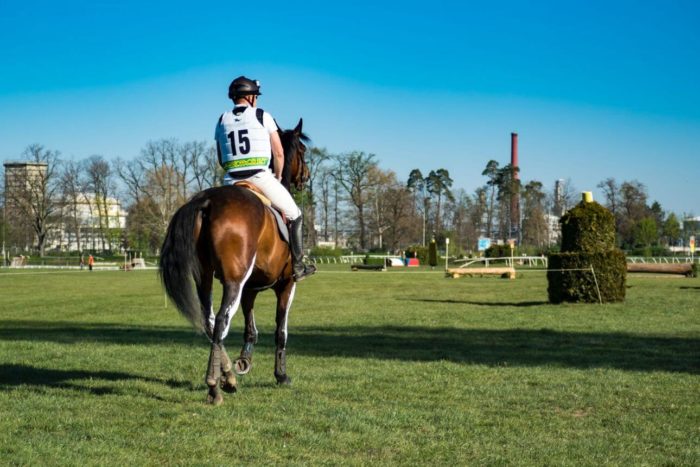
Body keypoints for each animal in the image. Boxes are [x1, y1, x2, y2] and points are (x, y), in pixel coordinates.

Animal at [161, 118, 312, 406]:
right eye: (303, 151)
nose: (306, 178)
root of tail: (207, 201)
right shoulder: (286, 285)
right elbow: (281, 331)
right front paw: (281, 375)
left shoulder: (250, 290)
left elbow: (250, 329)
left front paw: (244, 362)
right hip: (234, 281)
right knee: (220, 320)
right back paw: (215, 386)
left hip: (206, 278)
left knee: (210, 321)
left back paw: (228, 376)